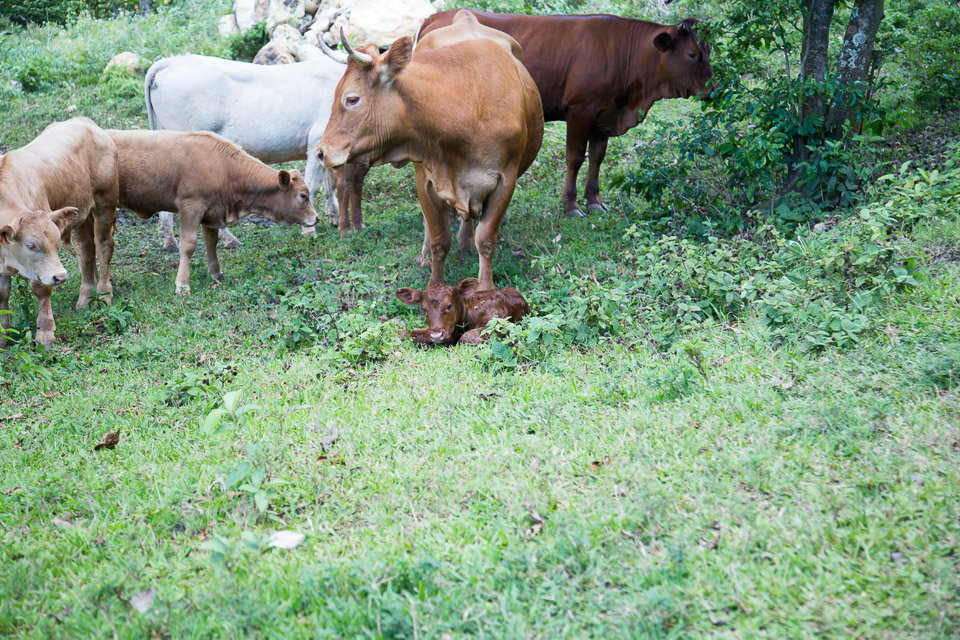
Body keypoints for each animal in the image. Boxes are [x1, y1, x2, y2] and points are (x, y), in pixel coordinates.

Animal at [108, 130, 318, 296]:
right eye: (303, 195)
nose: (316, 218)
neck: (226, 169)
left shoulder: (211, 213)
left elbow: (212, 243)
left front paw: (216, 273)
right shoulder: (191, 206)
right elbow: (188, 245)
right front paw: (182, 285)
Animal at [144, 55, 346, 250]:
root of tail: (172, 61)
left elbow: (330, 181)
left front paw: (334, 217)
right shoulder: (316, 139)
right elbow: (313, 186)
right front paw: (309, 231)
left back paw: (169, 240)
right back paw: (228, 239)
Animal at [318, 14, 544, 290]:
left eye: (351, 99)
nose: (321, 152)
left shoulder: (506, 180)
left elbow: (486, 239)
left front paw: (485, 287)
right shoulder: (426, 181)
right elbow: (439, 239)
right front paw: (435, 286)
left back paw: (465, 243)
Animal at [398, 276, 532, 344]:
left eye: (449, 306)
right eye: (424, 309)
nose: (436, 335)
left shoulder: (497, 324)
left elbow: (467, 336)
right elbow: (404, 333)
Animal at [420, 10, 712, 218]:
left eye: (709, 51)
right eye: (692, 54)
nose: (712, 88)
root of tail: (438, 15)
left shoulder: (604, 117)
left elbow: (597, 158)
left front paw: (594, 201)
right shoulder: (580, 110)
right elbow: (575, 158)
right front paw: (570, 204)